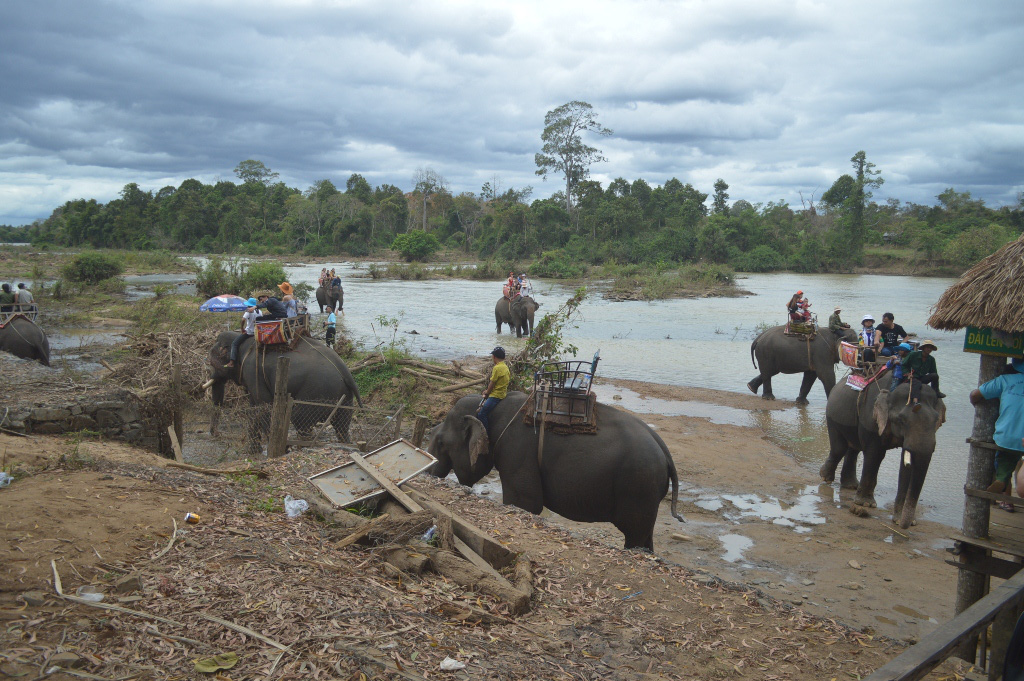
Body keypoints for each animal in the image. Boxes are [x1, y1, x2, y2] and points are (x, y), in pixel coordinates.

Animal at [205, 329, 362, 450]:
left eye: (212, 361)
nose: (217, 434)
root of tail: (346, 371)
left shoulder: (252, 370)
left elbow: (265, 406)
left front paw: (276, 448)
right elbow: (254, 408)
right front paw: (254, 451)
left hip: (317, 391)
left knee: (300, 421)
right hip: (344, 396)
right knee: (341, 427)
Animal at [428, 391, 684, 548]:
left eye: (440, 443)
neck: (492, 406)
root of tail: (665, 452)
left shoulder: (517, 452)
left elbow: (525, 503)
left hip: (639, 486)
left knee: (635, 534)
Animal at [819, 376, 946, 524]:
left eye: (937, 420)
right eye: (901, 420)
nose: (905, 523)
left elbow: (906, 463)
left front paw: (901, 520)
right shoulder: (871, 419)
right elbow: (875, 454)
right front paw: (865, 504)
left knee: (853, 448)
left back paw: (851, 486)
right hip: (832, 416)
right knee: (839, 448)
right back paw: (826, 477)